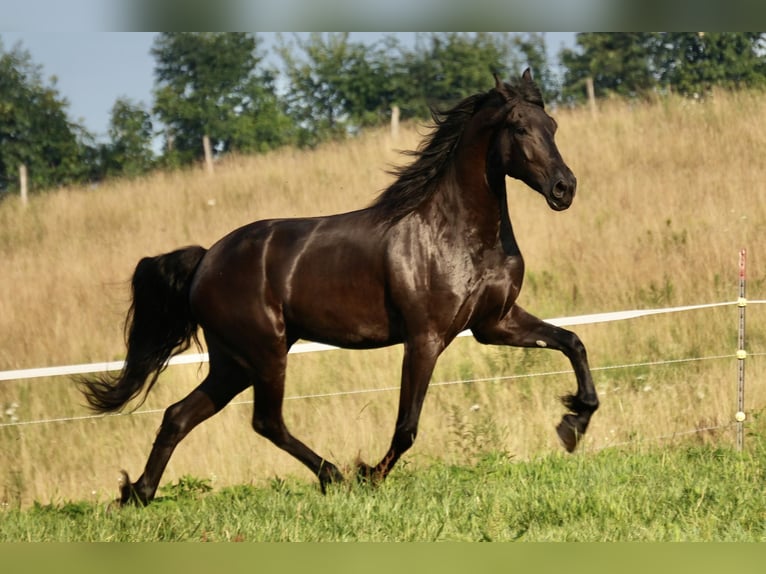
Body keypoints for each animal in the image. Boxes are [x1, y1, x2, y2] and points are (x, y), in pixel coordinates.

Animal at [81, 70, 604, 506]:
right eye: (518, 127)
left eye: (552, 124)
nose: (564, 188)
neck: (457, 232)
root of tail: (206, 260)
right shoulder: (426, 338)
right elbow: (407, 426)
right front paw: (370, 474)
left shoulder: (494, 323)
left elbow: (572, 342)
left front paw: (573, 422)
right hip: (265, 354)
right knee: (265, 421)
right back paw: (334, 475)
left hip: (234, 362)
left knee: (179, 415)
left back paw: (137, 494)